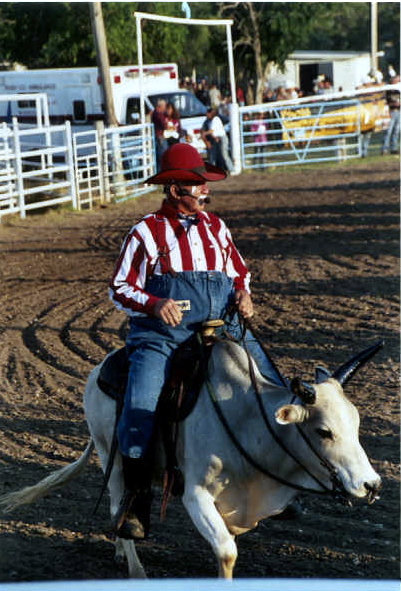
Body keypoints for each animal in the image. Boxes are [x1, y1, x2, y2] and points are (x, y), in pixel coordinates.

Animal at [0, 338, 382, 580]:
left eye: (356, 423)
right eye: (324, 431)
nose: (372, 485)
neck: (246, 419)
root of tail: (99, 371)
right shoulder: (196, 494)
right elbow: (227, 552)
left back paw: (122, 550)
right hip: (113, 456)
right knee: (118, 504)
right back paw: (136, 567)